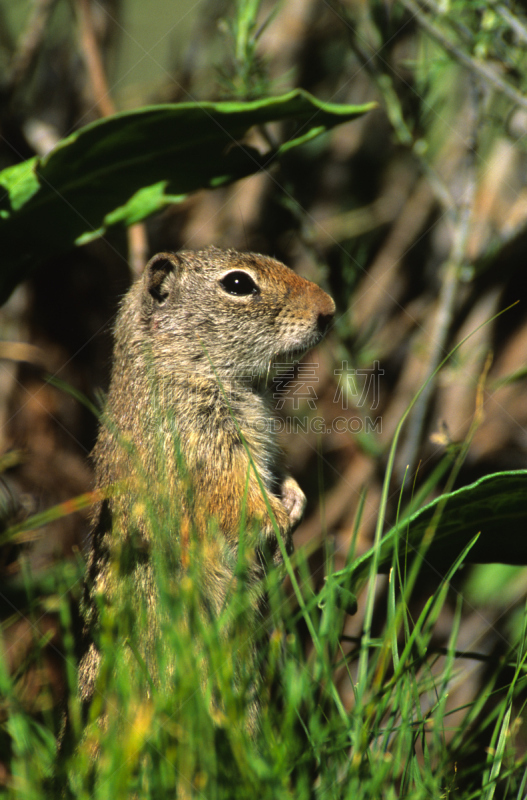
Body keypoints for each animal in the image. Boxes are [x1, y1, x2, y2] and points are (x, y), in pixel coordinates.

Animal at [78, 245, 334, 708]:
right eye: (238, 284)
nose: (330, 309)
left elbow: (280, 476)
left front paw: (295, 501)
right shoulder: (206, 451)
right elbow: (237, 500)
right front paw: (279, 521)